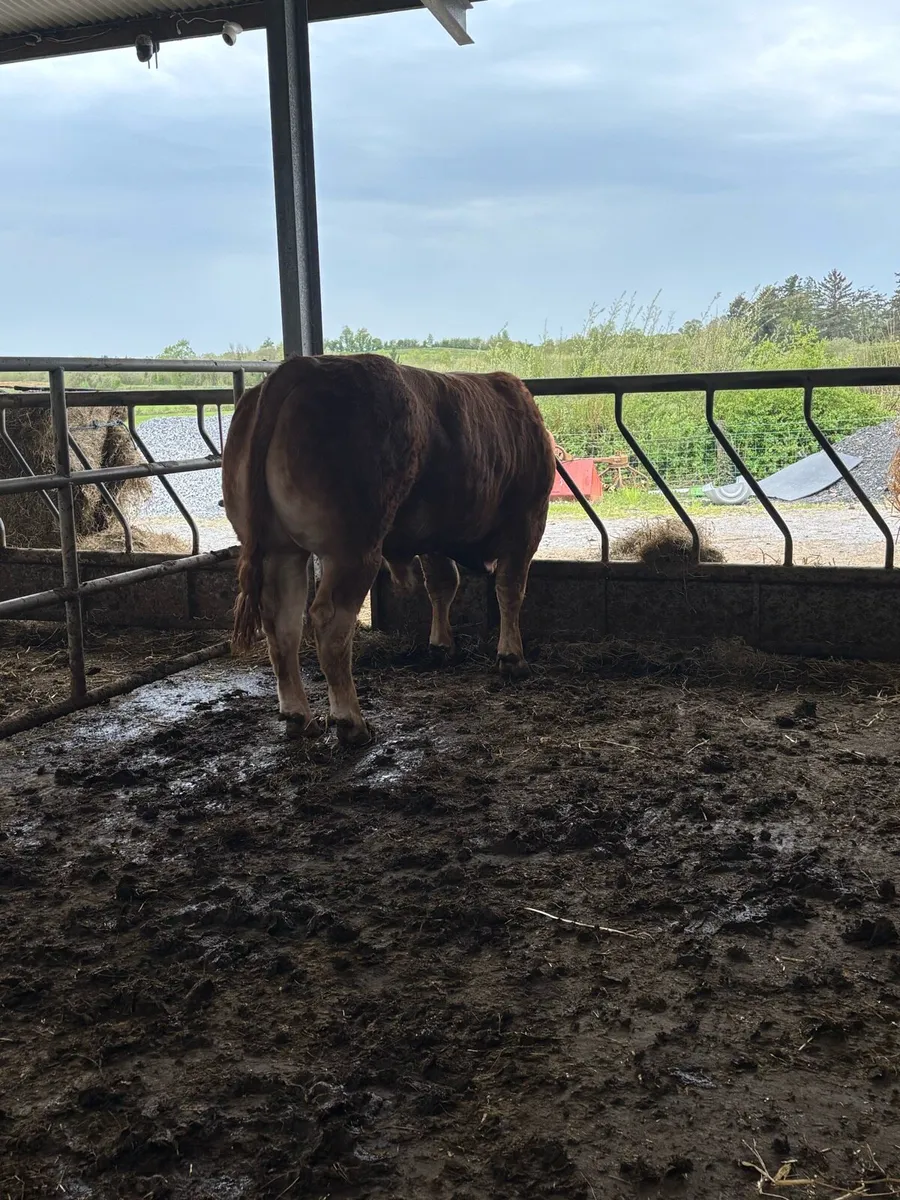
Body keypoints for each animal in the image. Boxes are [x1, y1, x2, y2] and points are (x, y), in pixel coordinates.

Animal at [222, 353, 556, 747]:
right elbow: (510, 590)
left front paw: (441, 644)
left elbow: (443, 584)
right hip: (354, 549)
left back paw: (298, 716)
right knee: (330, 621)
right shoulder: (528, 520)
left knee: (282, 622)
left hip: (280, 550)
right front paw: (512, 657)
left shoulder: (433, 534)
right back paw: (351, 722)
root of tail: (304, 365)